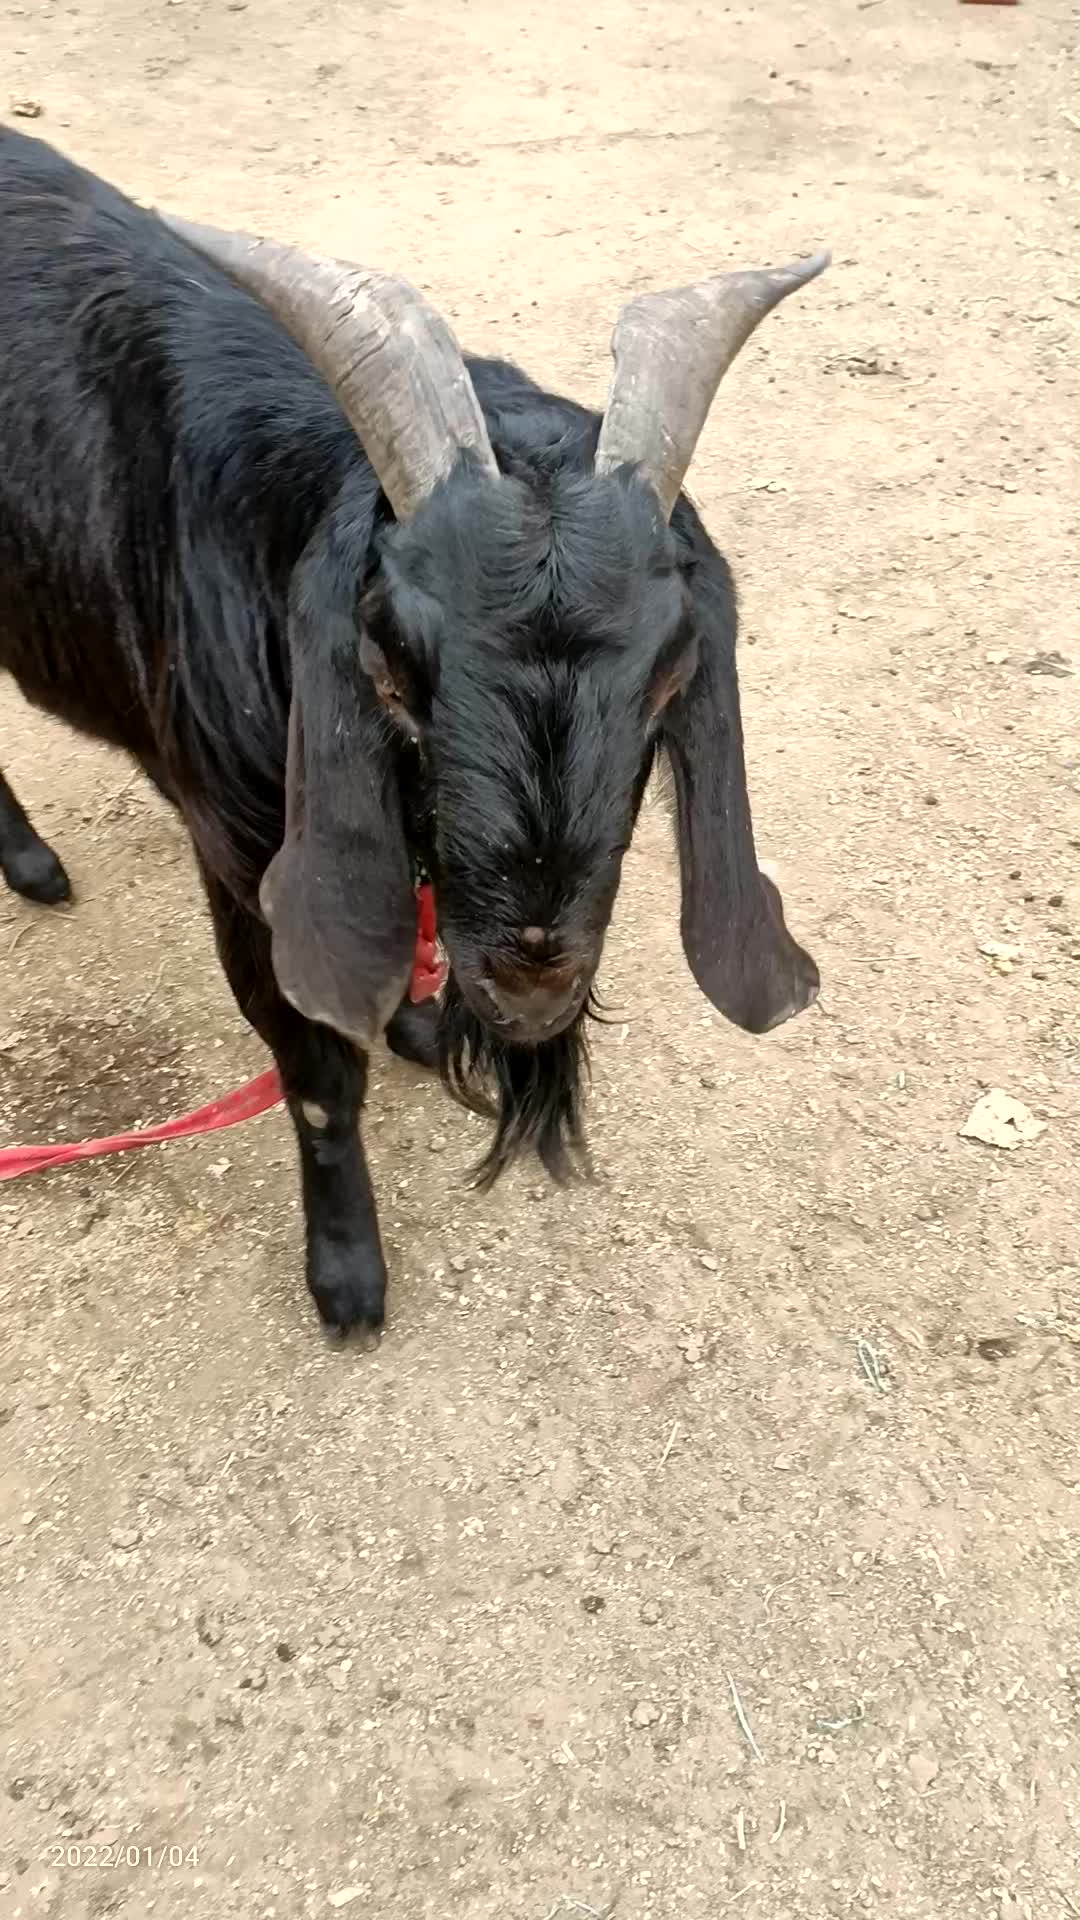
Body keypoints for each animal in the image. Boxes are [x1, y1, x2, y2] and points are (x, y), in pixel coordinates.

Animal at [2, 131, 822, 1336]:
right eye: (388, 657)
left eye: (674, 667)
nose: (530, 987)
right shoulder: (244, 863)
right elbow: (316, 1078)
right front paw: (347, 1277)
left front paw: (424, 1028)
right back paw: (31, 864)